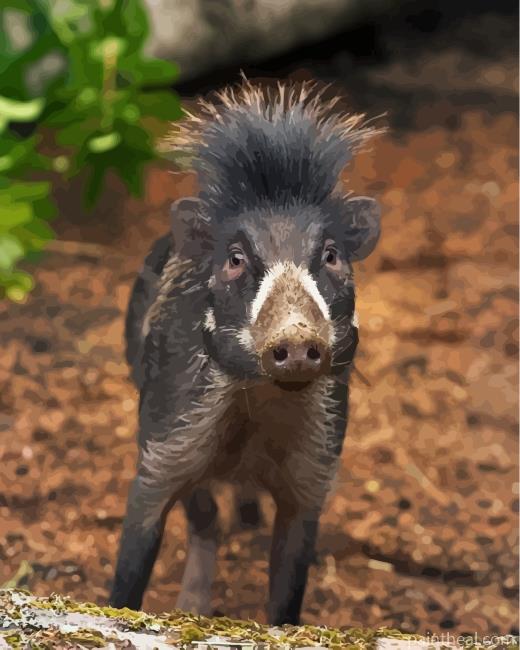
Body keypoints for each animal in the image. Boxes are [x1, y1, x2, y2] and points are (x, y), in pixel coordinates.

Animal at [110, 80, 382, 625]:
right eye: (235, 259)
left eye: (331, 255)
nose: (296, 338)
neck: (258, 412)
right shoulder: (161, 448)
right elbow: (132, 570)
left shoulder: (313, 476)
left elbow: (287, 595)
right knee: (207, 519)